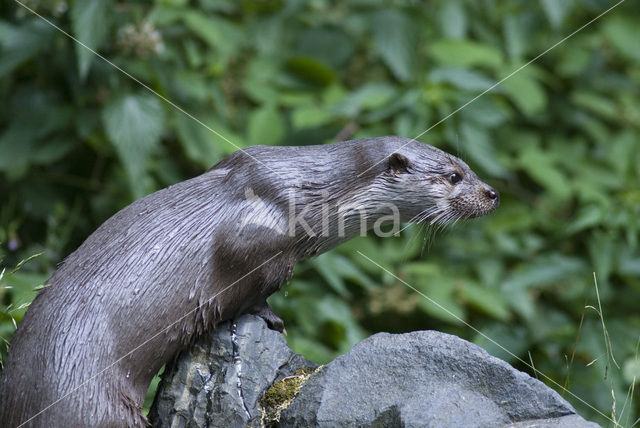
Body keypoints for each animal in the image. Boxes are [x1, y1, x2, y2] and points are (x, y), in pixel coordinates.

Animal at [0, 136, 500, 424]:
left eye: (468, 167)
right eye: (453, 175)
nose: (493, 192)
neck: (311, 196)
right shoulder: (260, 240)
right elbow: (251, 288)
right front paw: (272, 320)